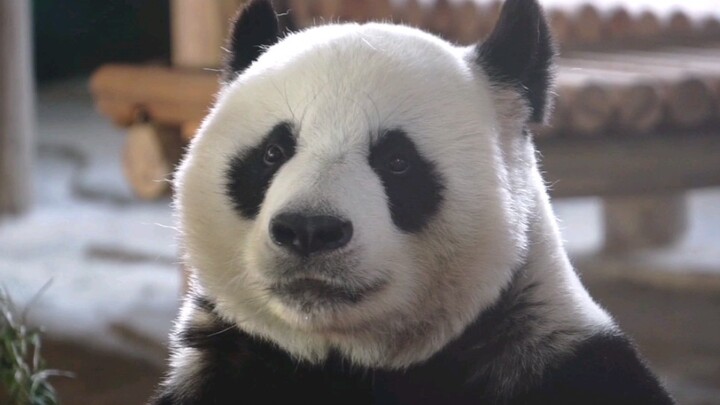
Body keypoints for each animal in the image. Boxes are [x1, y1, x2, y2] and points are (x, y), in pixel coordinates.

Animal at [153, 0, 675, 403]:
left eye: (398, 161)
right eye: (272, 153)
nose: (309, 230)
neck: (345, 359)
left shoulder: (554, 360)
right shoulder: (226, 369)